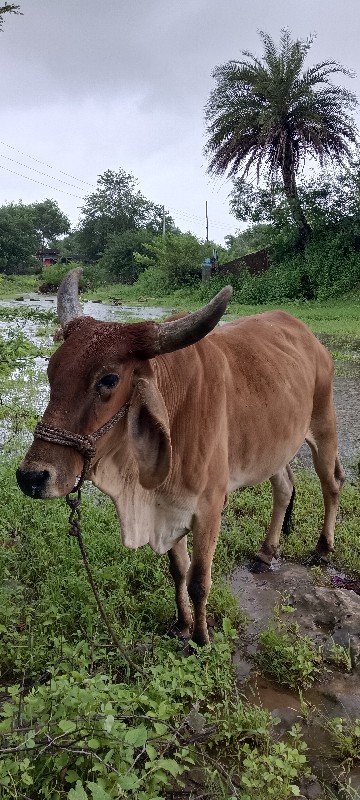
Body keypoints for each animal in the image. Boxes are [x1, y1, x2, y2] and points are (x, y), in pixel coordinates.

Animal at [17, 268, 346, 644]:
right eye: (52, 371)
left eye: (109, 379)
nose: (32, 477)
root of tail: (306, 334)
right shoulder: (166, 506)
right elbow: (178, 571)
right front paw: (182, 624)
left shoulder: (209, 508)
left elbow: (199, 581)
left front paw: (202, 638)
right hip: (273, 448)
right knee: (285, 487)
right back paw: (266, 552)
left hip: (324, 426)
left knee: (332, 483)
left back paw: (323, 548)